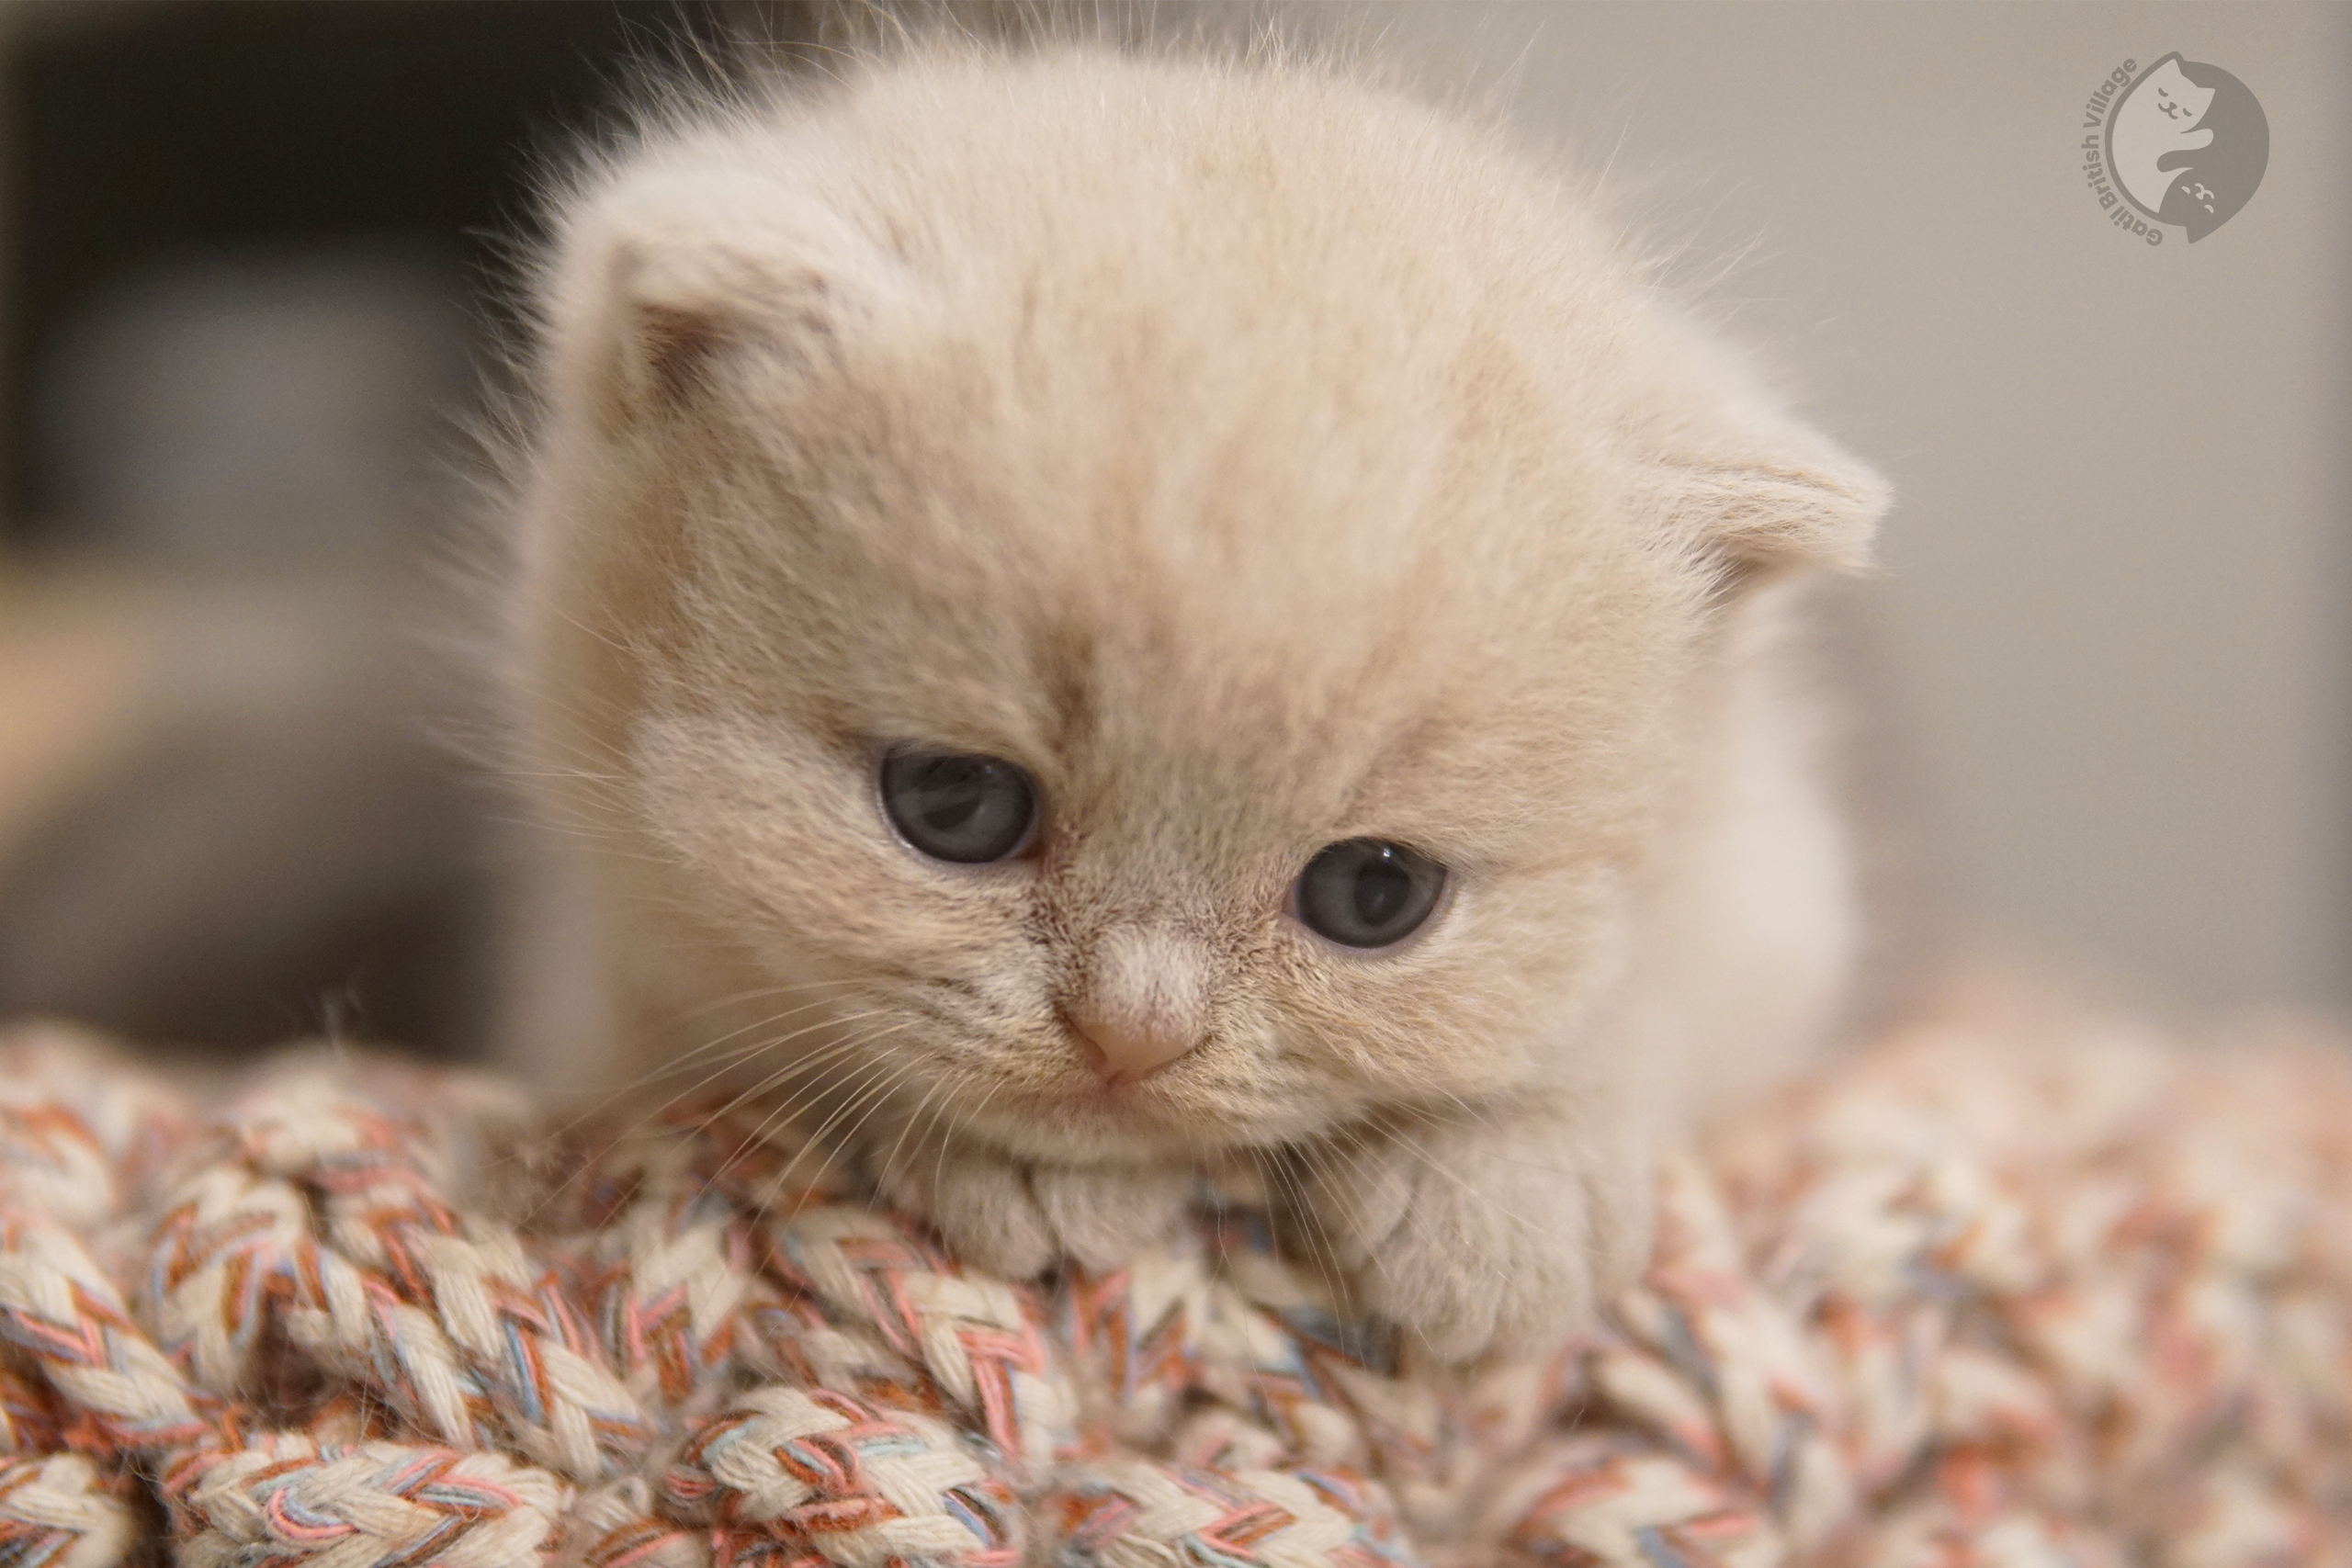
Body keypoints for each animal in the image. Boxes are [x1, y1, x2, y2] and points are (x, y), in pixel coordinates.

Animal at [501, 33, 1891, 1363]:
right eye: (954, 803)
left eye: (1376, 893)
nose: (1135, 1032)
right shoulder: (611, 996)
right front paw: (1018, 1168)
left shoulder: (1773, 897)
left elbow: (1638, 1007)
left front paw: (1504, 1194)